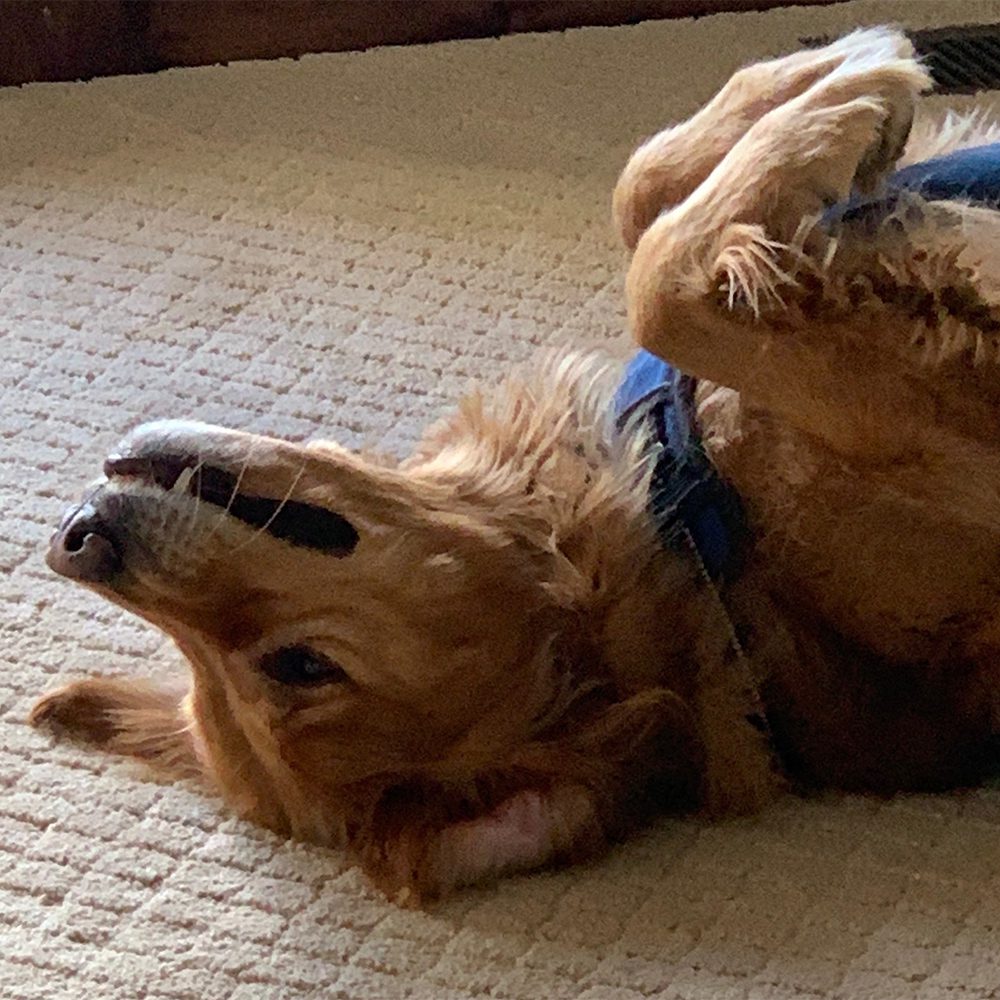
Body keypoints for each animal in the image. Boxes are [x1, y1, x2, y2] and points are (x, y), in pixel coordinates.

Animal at [27, 29, 1000, 908]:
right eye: (301, 666)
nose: (79, 541)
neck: (693, 539)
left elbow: (640, 195)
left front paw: (803, 88)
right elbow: (662, 287)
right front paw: (843, 96)